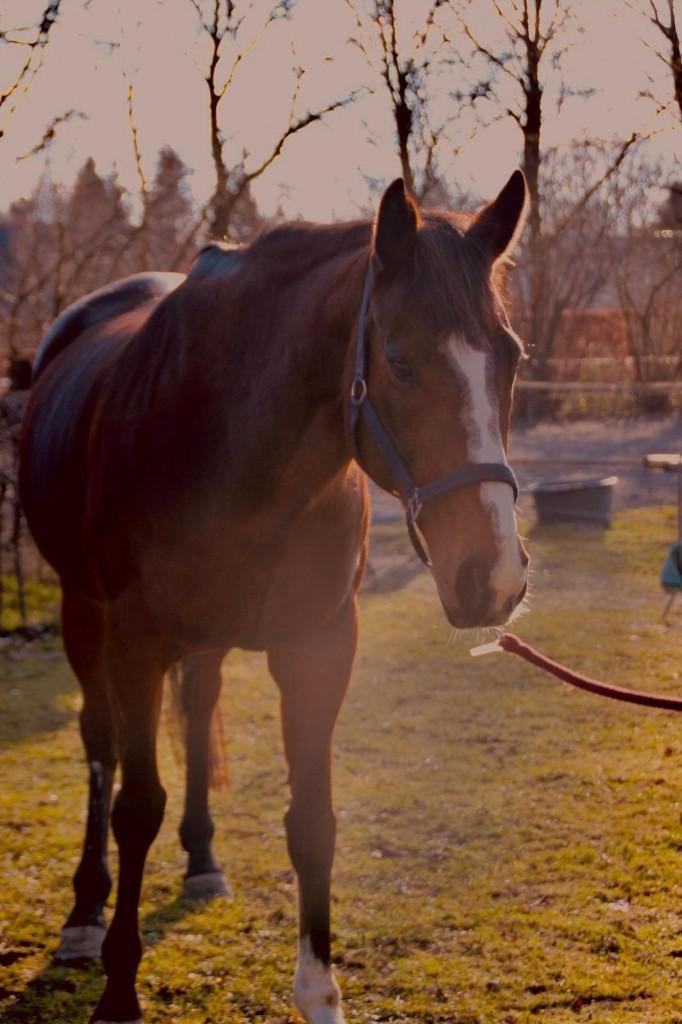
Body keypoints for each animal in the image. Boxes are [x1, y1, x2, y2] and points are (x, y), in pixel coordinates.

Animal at [19, 172, 529, 1024]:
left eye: (512, 359)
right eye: (400, 361)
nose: (492, 576)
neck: (233, 449)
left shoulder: (319, 646)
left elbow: (313, 818)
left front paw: (320, 993)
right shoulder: (133, 642)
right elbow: (135, 807)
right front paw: (118, 991)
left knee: (197, 712)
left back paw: (201, 860)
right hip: (82, 617)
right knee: (98, 747)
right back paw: (86, 912)